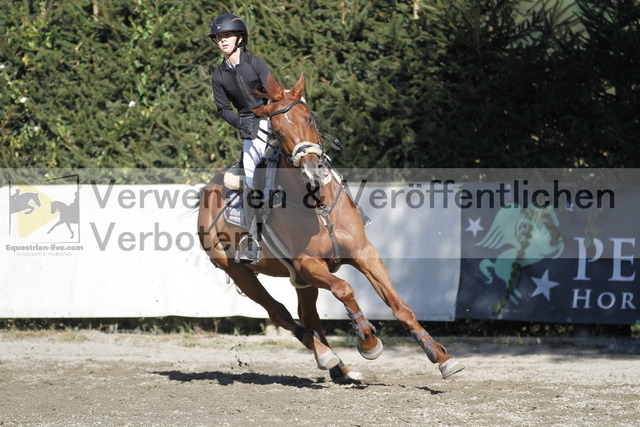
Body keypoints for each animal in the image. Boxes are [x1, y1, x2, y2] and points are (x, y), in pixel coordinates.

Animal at [198, 74, 464, 382]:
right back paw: (326, 355)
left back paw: (340, 368)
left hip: (299, 280)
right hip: (239, 272)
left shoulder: (364, 253)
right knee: (280, 313)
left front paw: (441, 357)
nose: (313, 169)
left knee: (307, 315)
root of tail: (208, 189)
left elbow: (398, 305)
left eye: (310, 118)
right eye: (277, 131)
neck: (317, 204)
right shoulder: (309, 264)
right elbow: (344, 289)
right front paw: (368, 341)